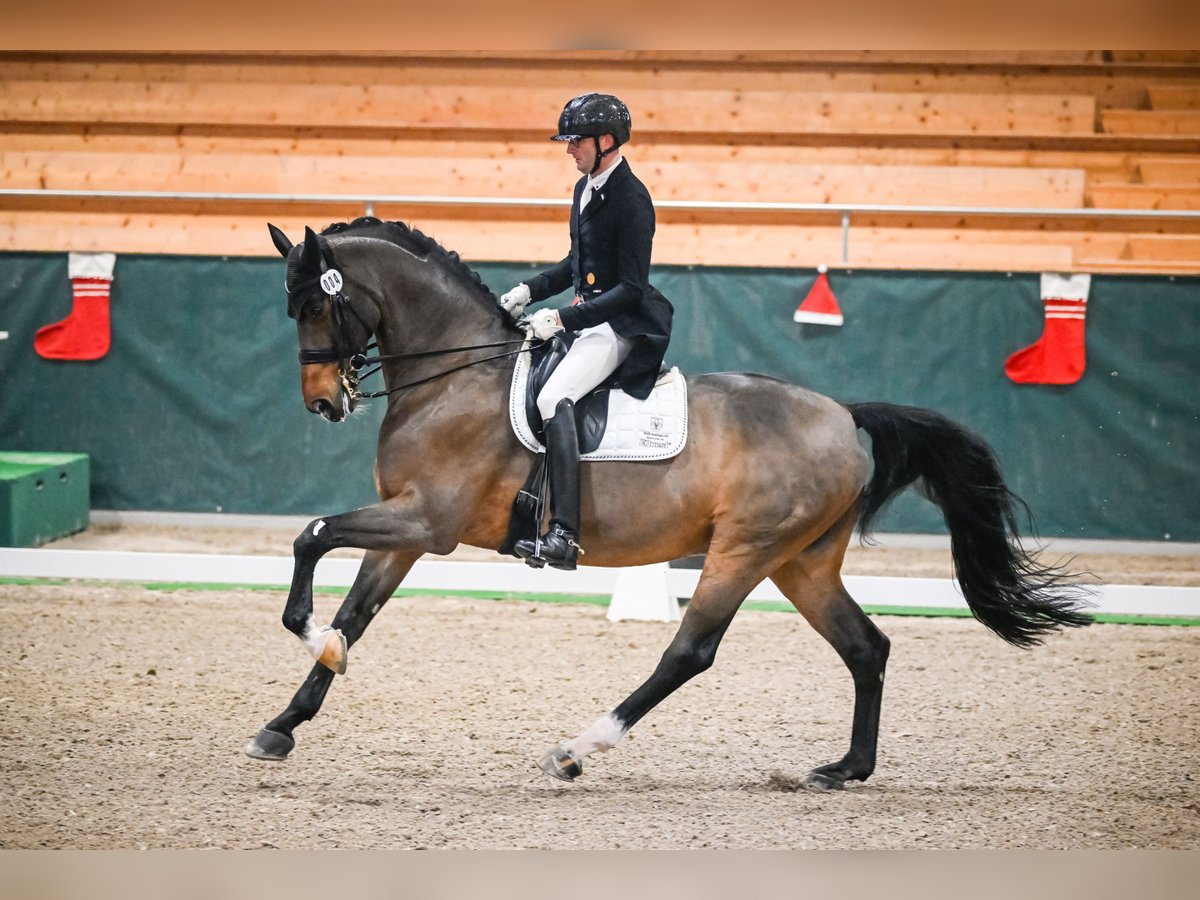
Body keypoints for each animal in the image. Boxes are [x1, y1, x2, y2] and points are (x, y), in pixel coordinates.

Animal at [241, 217, 1089, 787]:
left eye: (314, 306)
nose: (324, 403)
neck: (455, 377)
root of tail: (845, 416)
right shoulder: (409, 527)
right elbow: (356, 611)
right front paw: (284, 722)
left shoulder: (430, 521)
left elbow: (312, 535)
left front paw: (310, 636)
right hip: (802, 562)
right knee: (866, 648)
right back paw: (844, 768)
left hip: (744, 549)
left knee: (690, 650)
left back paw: (578, 749)